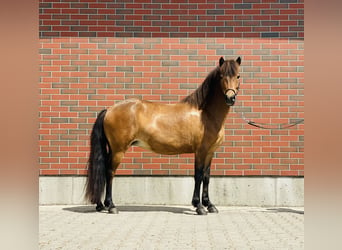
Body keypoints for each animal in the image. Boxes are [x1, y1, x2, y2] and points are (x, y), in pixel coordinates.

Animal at [85, 56, 240, 215]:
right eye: (221, 76)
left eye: (238, 76)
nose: (230, 98)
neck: (205, 114)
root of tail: (109, 109)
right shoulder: (200, 152)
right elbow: (198, 176)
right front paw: (199, 206)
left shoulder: (210, 152)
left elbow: (206, 177)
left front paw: (210, 205)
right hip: (118, 150)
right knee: (109, 172)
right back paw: (111, 206)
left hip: (113, 149)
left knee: (103, 170)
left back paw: (101, 205)